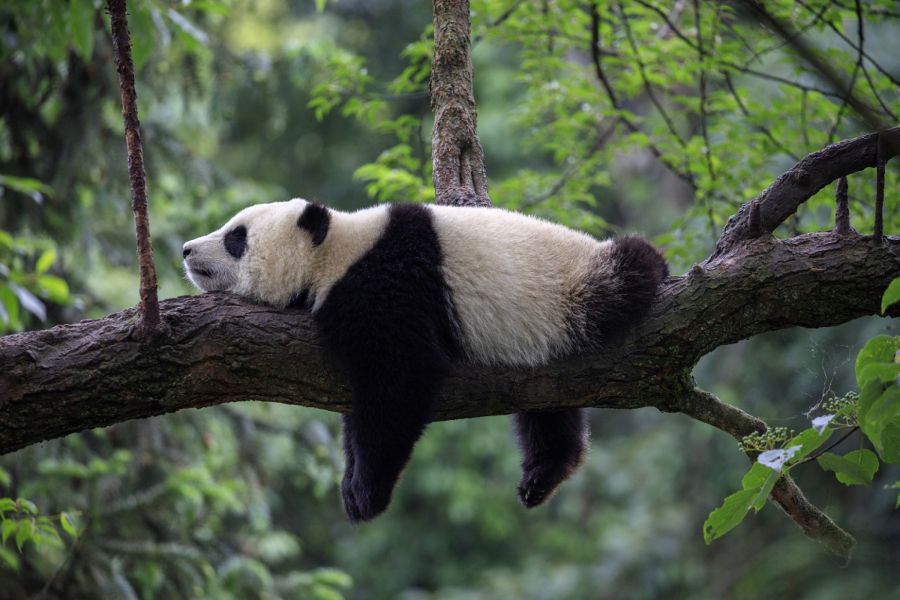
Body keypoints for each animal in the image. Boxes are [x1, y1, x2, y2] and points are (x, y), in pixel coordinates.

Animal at [183, 199, 668, 524]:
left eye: (236, 237)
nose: (187, 249)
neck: (337, 251)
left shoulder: (389, 286)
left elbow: (401, 380)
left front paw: (366, 493)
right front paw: (351, 480)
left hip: (574, 289)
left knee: (628, 270)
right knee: (548, 406)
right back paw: (543, 473)